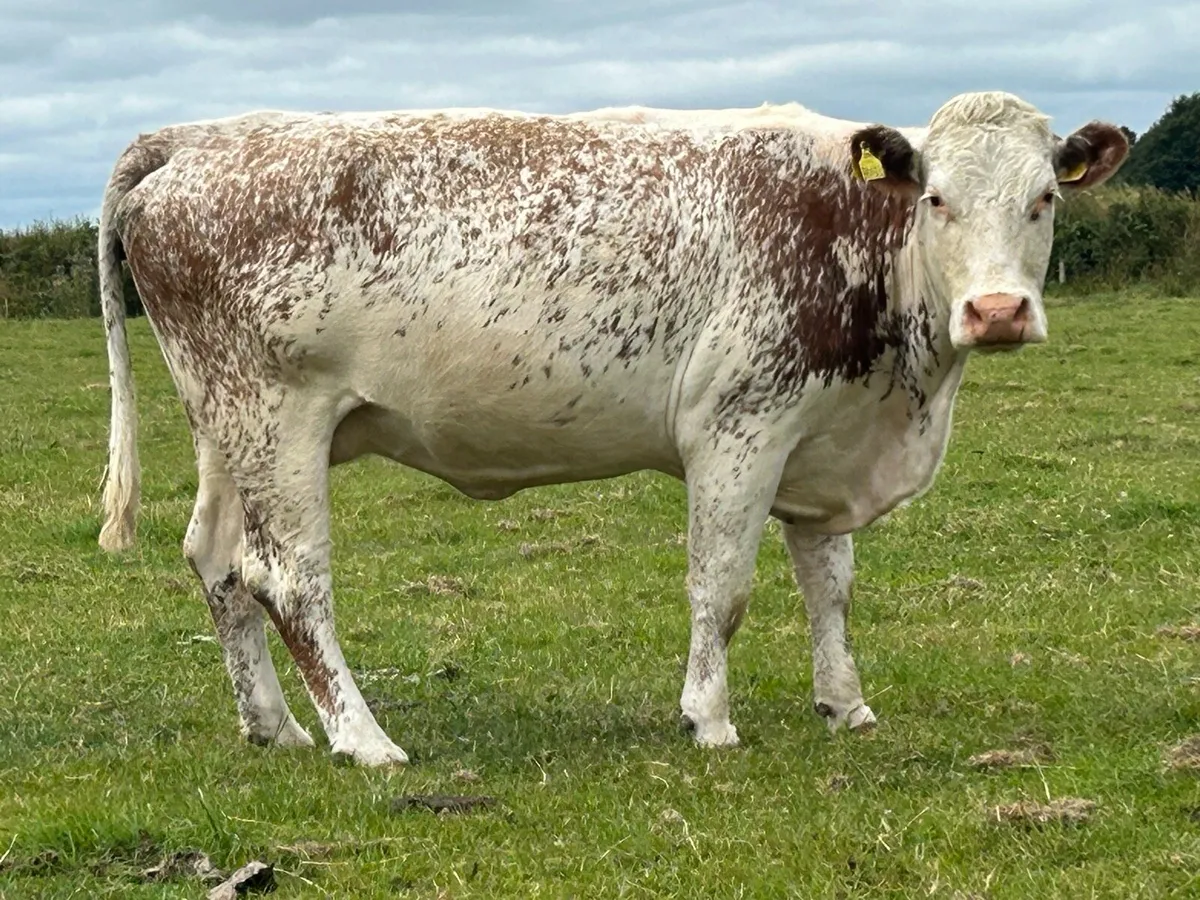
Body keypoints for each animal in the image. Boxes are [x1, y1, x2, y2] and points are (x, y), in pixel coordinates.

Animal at [95, 91, 1128, 766]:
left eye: (1044, 198)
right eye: (936, 198)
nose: (996, 311)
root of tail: (202, 136)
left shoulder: (821, 444)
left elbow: (828, 588)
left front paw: (846, 705)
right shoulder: (739, 429)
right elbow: (724, 587)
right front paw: (709, 719)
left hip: (225, 425)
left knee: (217, 561)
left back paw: (273, 726)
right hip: (278, 418)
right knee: (287, 576)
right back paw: (364, 739)